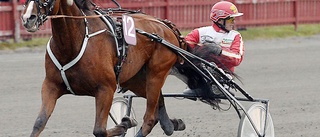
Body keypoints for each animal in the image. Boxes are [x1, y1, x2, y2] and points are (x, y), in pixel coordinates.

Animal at [21, 0, 185, 136]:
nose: (28, 18)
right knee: (159, 102)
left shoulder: (105, 89)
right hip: (134, 79)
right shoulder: (51, 85)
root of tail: (165, 25)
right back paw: (171, 125)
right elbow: (39, 123)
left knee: (150, 118)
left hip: (156, 74)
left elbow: (99, 130)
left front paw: (125, 123)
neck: (73, 43)